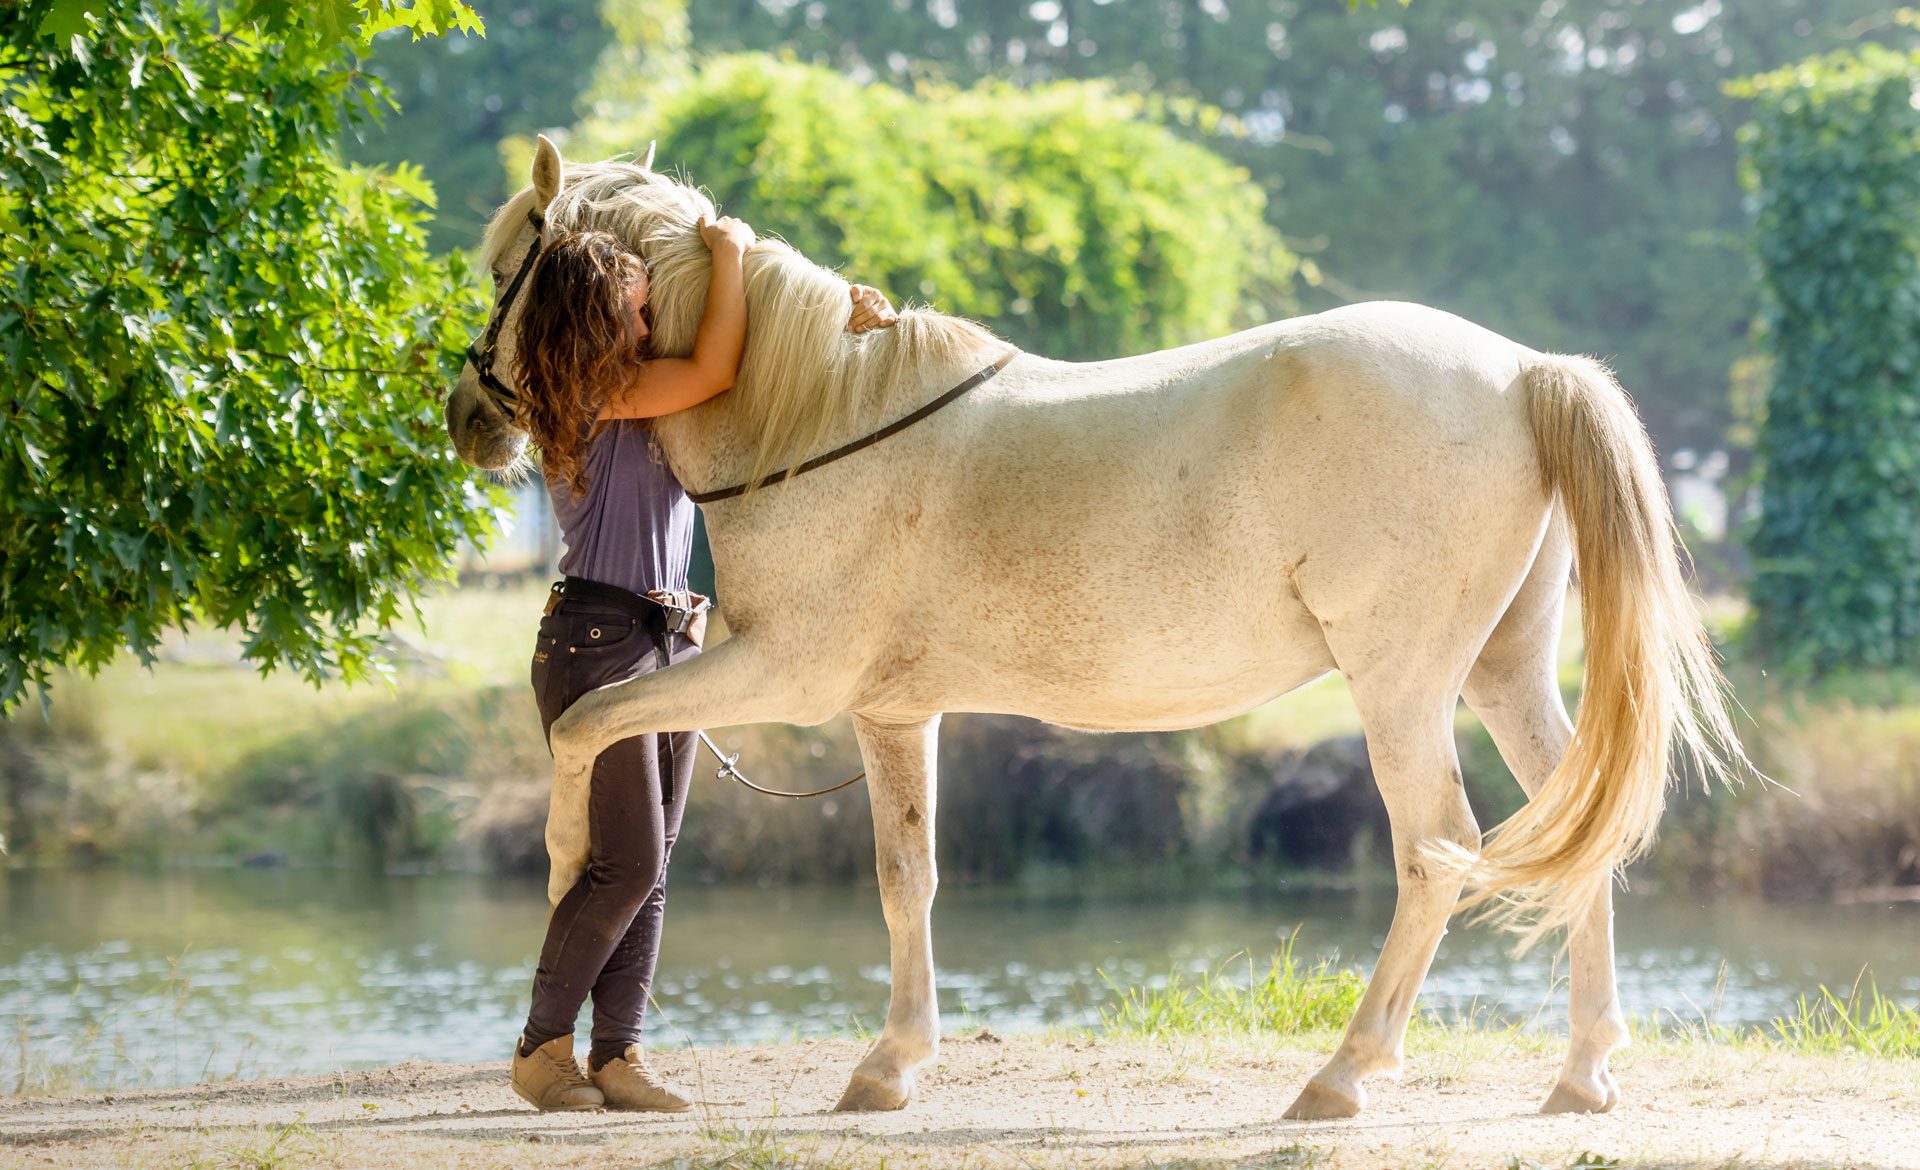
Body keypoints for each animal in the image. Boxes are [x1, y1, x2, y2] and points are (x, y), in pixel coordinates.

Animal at [444, 135, 1744, 1120]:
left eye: (509, 264)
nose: (466, 414)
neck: (817, 418)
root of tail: (1523, 371)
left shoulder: (782, 676)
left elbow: (588, 726)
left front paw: (560, 864)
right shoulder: (892, 713)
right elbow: (907, 878)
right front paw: (891, 1066)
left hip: (1401, 687)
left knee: (1436, 849)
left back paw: (1343, 1076)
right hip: (1502, 672)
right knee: (1576, 829)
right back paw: (1581, 1075)